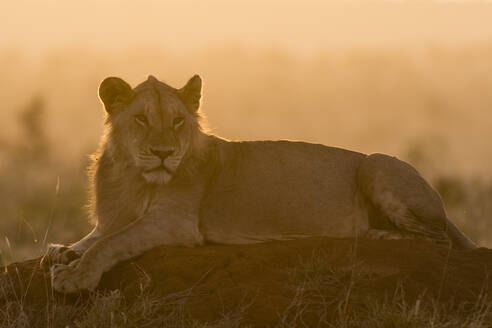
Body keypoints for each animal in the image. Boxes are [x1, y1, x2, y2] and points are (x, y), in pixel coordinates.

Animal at [42, 74, 476, 292]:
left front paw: (75, 277)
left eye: (178, 121)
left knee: (437, 241)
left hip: (374, 164)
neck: (131, 174)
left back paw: (376, 234)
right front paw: (62, 252)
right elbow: (91, 239)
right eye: (141, 119)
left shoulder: (175, 223)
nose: (164, 153)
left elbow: (112, 244)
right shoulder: (110, 219)